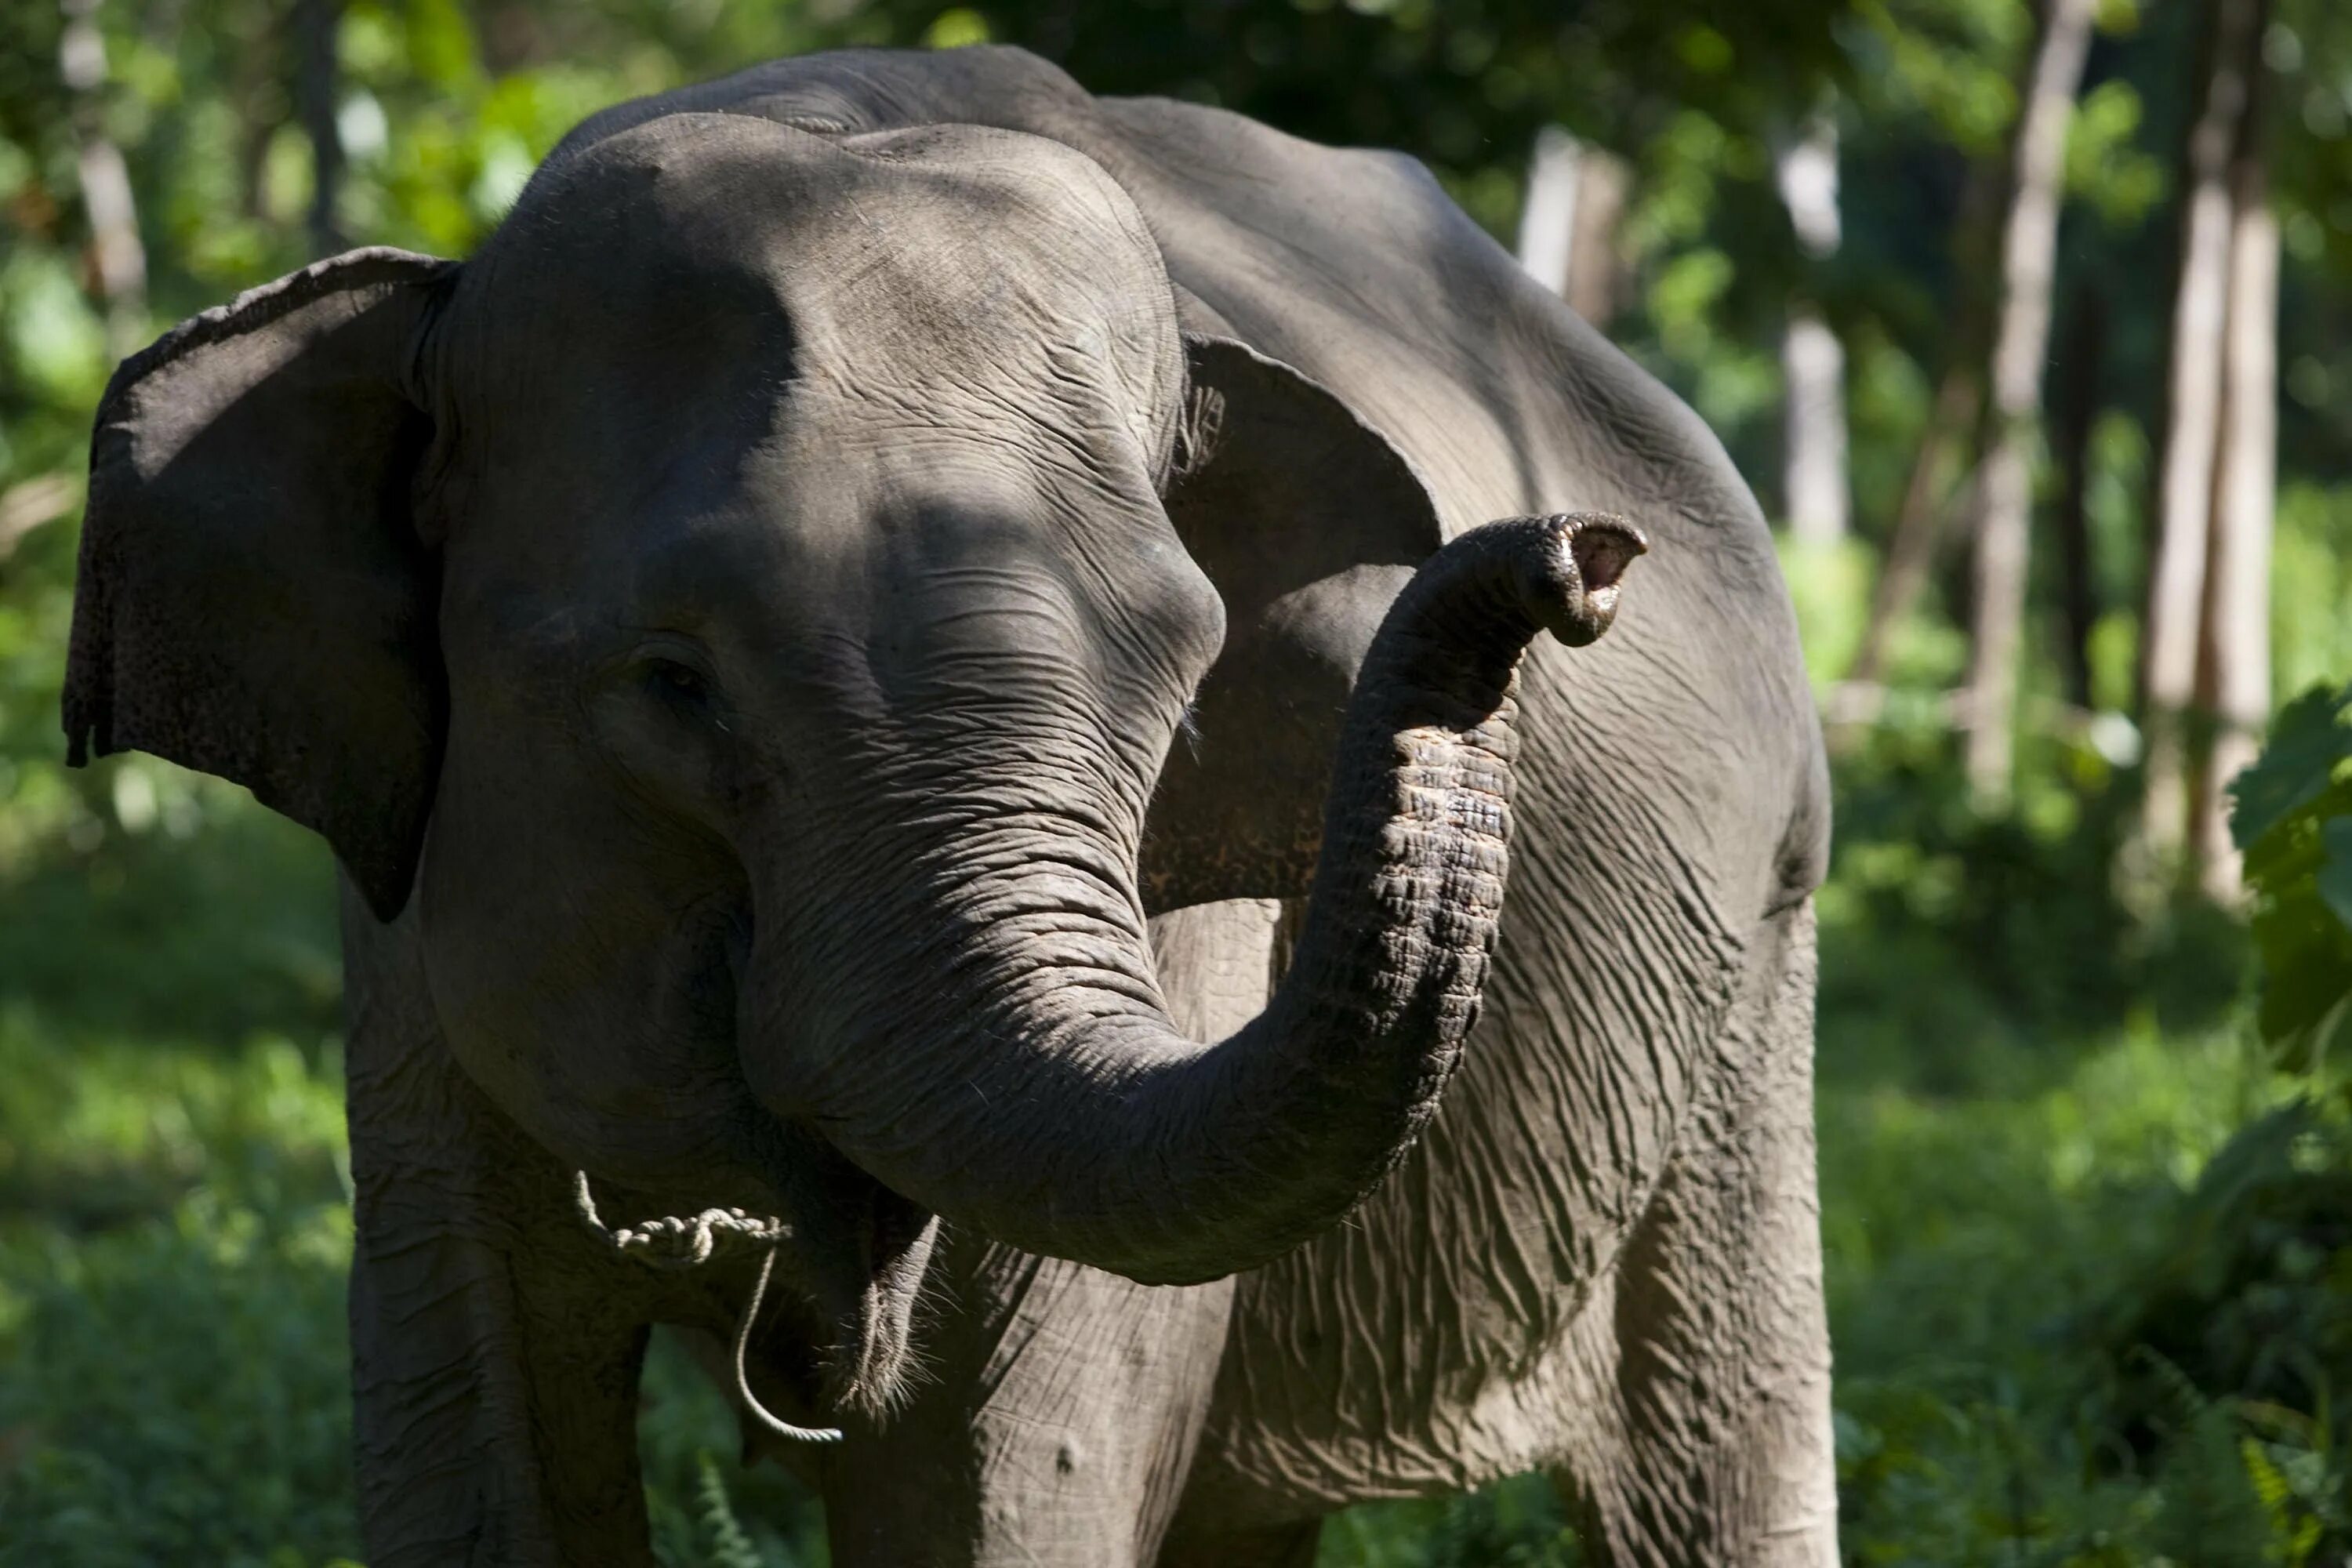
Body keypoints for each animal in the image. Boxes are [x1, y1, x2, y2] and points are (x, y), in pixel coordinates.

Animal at [60, 42, 1835, 1561]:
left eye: (1187, 672)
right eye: (675, 681)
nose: (1573, 560)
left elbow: (1013, 1466)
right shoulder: (402, 917)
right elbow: (468, 1427)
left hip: (1751, 967)